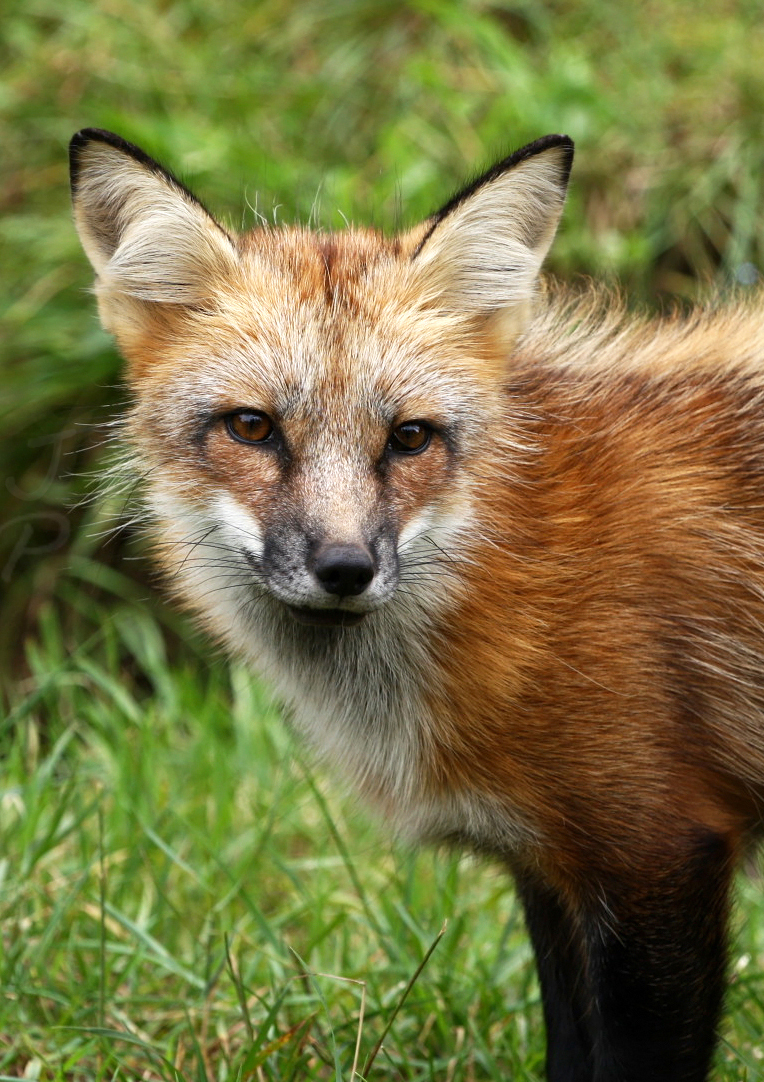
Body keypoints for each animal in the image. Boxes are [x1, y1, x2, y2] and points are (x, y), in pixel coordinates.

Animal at [67, 126, 764, 1082]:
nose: (345, 567)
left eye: (409, 437)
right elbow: (568, 1051)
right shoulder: (551, 865)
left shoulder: (657, 853)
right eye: (252, 427)